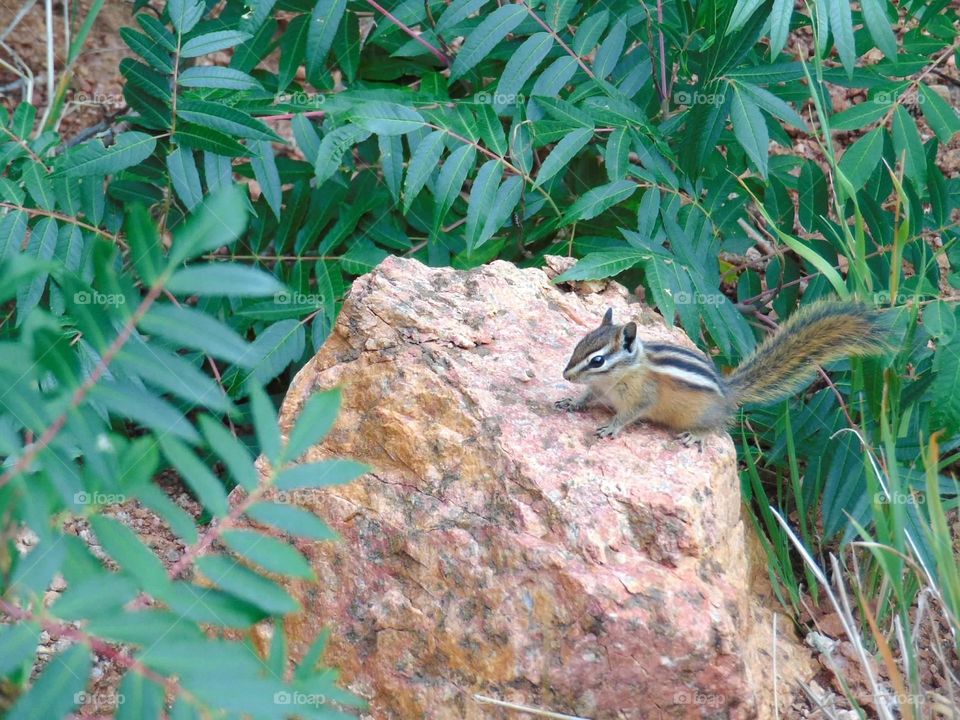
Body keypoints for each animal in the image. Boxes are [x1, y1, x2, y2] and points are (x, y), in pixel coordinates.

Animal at [555, 300, 888, 449]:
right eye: (579, 344)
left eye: (597, 360)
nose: (566, 375)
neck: (616, 378)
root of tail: (728, 392)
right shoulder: (600, 390)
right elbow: (587, 396)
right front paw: (571, 402)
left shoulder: (641, 397)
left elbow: (629, 414)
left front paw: (611, 427)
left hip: (704, 415)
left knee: (720, 427)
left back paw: (697, 435)